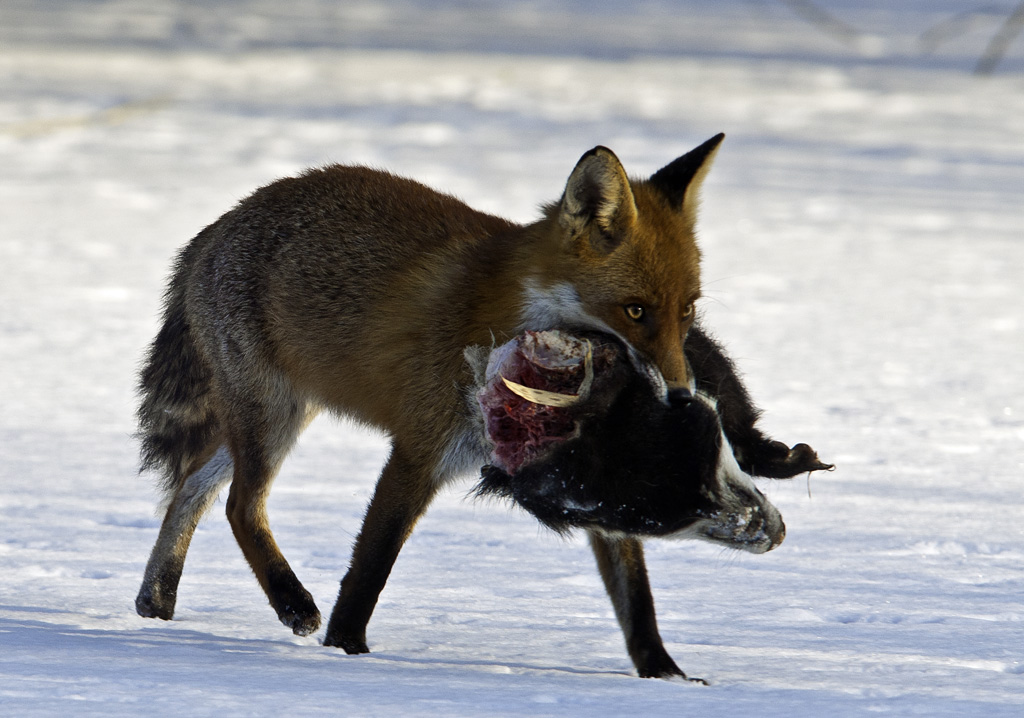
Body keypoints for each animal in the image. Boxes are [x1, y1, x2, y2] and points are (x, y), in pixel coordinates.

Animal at [135, 134, 819, 680]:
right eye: (635, 311)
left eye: (687, 311)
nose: (680, 396)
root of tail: (220, 224)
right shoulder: (421, 449)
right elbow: (369, 571)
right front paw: (349, 654)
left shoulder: (588, 468)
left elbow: (637, 600)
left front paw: (666, 678)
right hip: (271, 417)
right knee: (238, 505)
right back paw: (290, 602)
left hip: (274, 416)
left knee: (191, 487)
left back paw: (156, 600)